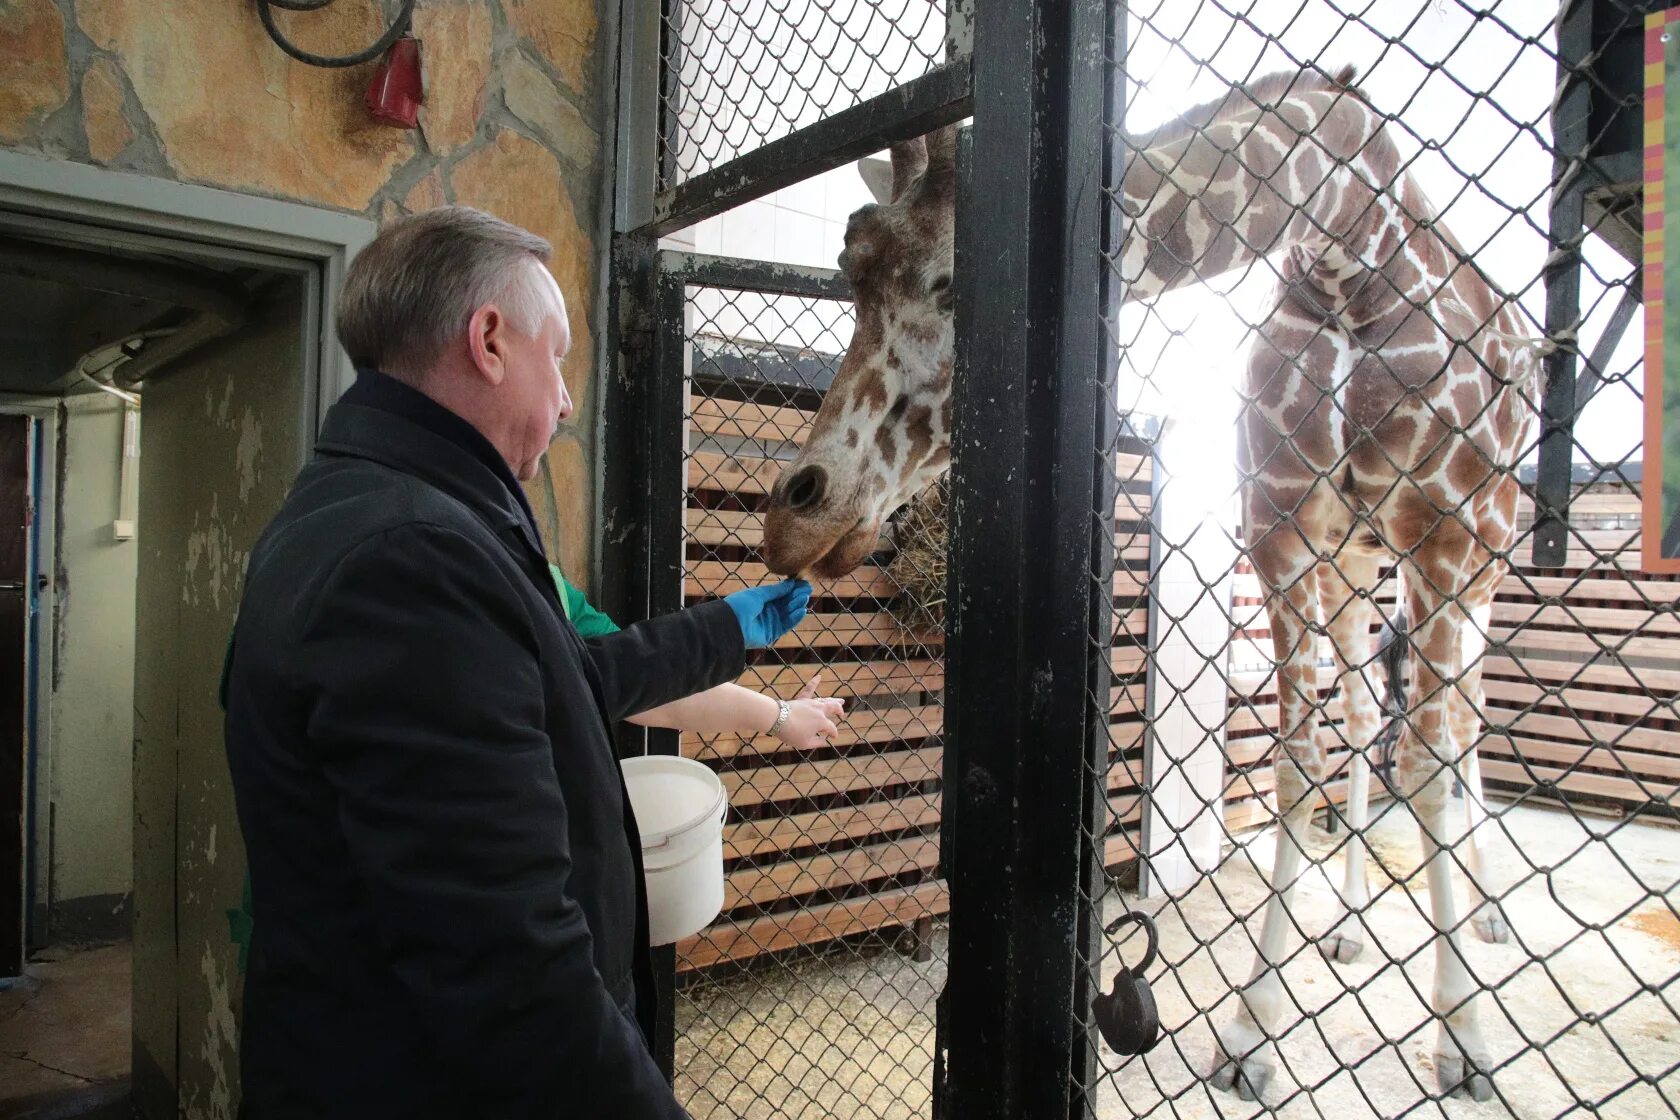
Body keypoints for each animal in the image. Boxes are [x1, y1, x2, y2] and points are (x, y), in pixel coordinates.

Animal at [756, 63, 1538, 1101]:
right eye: (849, 280)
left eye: (954, 281)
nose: (794, 513)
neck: (1350, 254)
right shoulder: (1282, 529)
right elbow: (1297, 762)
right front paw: (1252, 1035)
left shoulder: (1445, 532)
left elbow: (1428, 763)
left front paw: (1466, 1040)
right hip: (1355, 565)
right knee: (1370, 709)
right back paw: (1348, 927)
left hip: (1483, 554)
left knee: (1460, 728)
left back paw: (1487, 919)